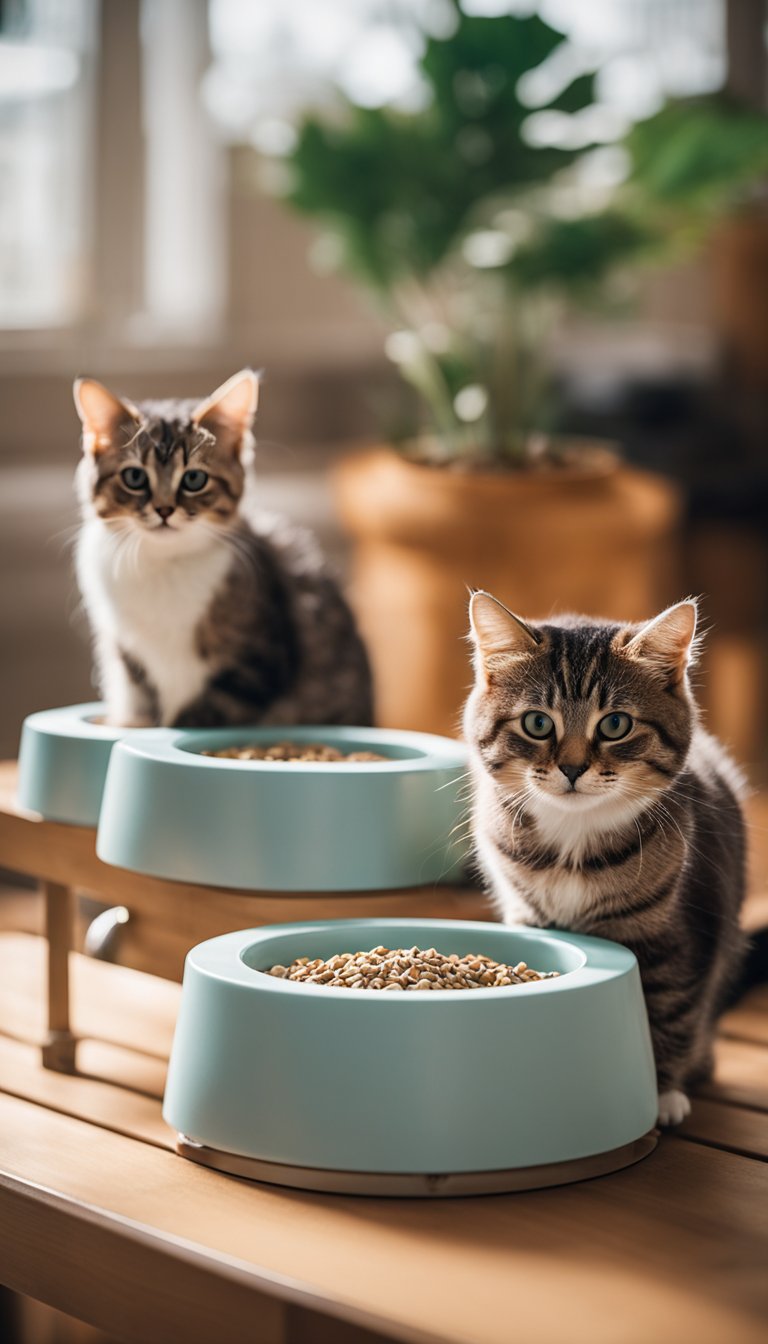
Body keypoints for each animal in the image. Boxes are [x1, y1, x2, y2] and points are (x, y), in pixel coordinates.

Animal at [73, 368, 373, 731]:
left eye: (194, 479)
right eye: (134, 477)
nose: (164, 509)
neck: (163, 564)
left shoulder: (257, 661)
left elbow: (198, 714)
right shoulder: (129, 657)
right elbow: (140, 705)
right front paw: (129, 725)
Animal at [462, 594, 747, 1128]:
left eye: (616, 724)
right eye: (537, 723)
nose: (572, 768)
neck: (574, 841)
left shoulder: (678, 939)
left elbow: (668, 1010)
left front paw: (659, 1094)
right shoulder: (527, 913)